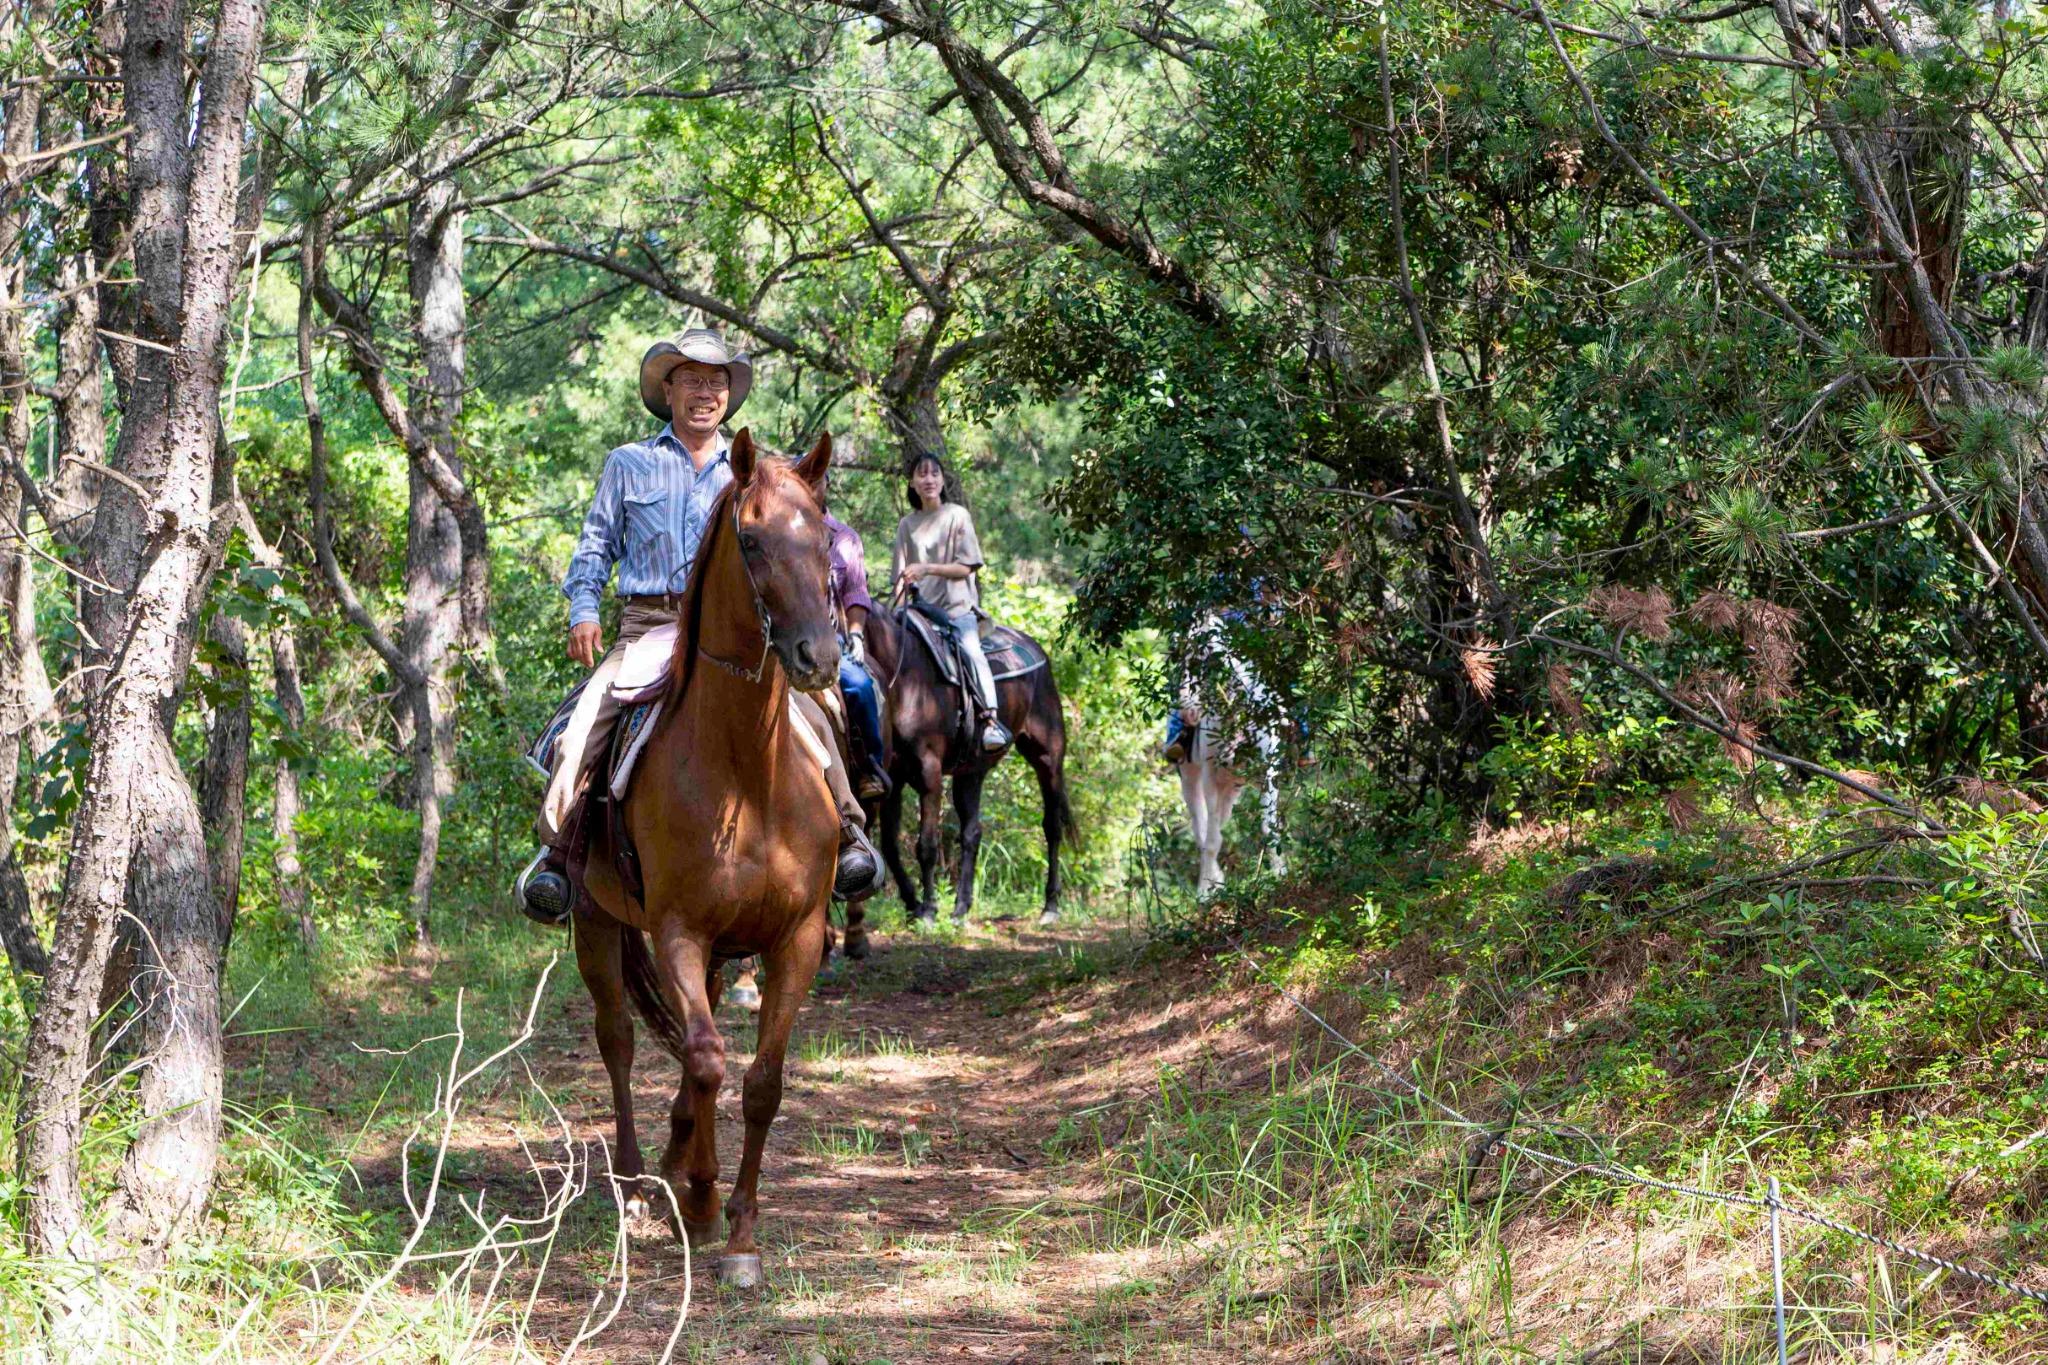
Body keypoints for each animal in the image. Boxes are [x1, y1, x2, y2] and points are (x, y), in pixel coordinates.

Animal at [573, 429, 835, 1293]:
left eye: (825, 538)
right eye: (750, 541)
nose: (819, 655)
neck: (745, 772)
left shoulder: (797, 938)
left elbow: (759, 1081)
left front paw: (743, 1234)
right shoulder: (678, 932)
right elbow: (710, 1059)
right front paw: (703, 1199)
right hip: (593, 922)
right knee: (620, 1036)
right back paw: (634, 1182)